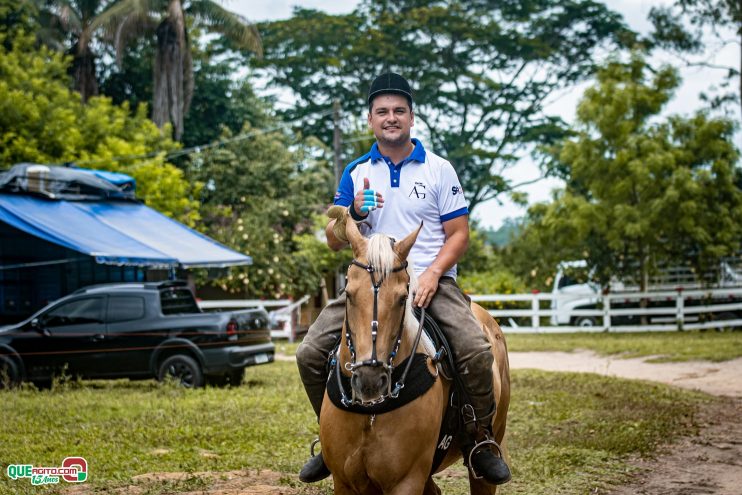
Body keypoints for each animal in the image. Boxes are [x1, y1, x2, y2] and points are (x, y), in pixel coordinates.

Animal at [320, 217, 512, 495]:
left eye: (403, 298)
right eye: (348, 293)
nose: (370, 379)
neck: (371, 413)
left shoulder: (407, 481)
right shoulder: (344, 482)